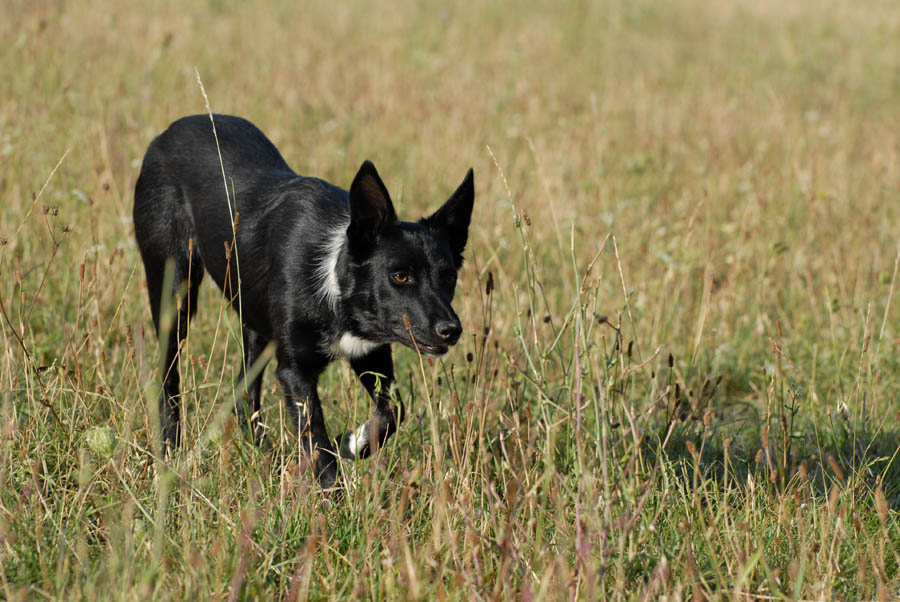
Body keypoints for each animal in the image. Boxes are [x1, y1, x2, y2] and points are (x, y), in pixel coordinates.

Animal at [135, 113, 472, 488]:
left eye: (449, 277)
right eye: (400, 276)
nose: (451, 330)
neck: (334, 286)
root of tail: (170, 131)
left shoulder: (369, 354)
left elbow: (391, 413)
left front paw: (352, 442)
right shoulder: (295, 372)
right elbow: (320, 446)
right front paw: (334, 496)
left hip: (256, 324)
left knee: (243, 395)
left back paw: (267, 458)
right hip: (175, 294)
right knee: (169, 380)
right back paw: (170, 452)